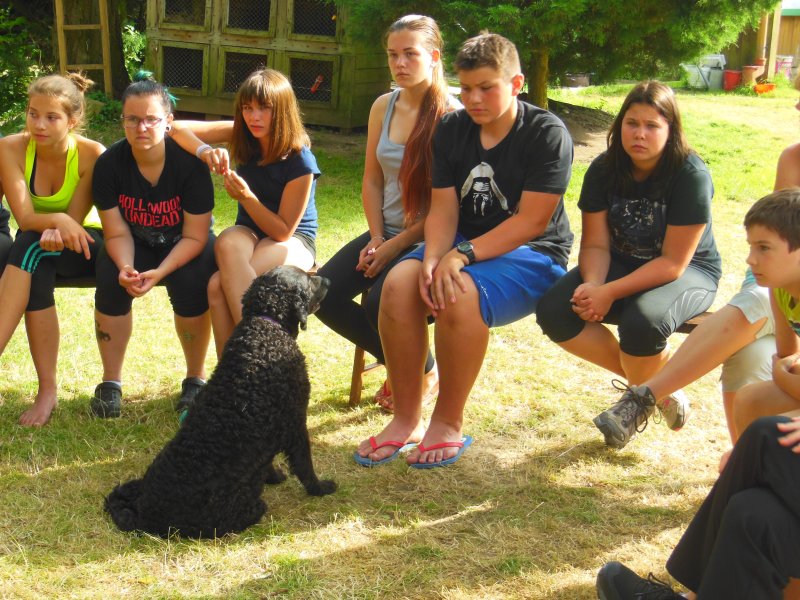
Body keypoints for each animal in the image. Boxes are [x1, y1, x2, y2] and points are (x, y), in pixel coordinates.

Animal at [104, 266, 336, 538]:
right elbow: (304, 465)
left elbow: (267, 462)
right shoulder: (296, 422)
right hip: (240, 510)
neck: (264, 326)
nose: (328, 279)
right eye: (309, 277)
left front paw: (274, 476)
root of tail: (144, 514)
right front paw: (320, 488)